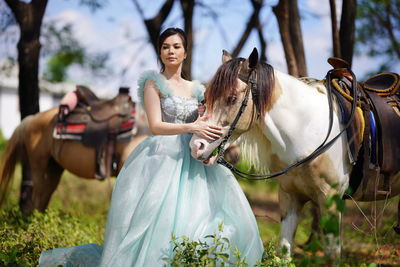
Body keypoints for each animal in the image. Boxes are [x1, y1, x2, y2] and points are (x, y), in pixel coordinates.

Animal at [188, 48, 400, 264]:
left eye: (231, 98)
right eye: (205, 98)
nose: (196, 146)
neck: (306, 131)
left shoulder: (331, 200)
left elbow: (332, 254)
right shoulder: (289, 197)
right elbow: (284, 251)